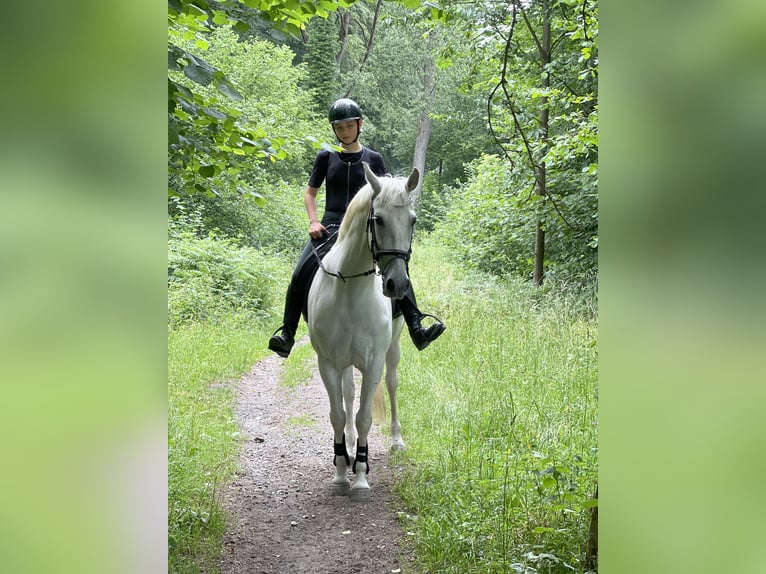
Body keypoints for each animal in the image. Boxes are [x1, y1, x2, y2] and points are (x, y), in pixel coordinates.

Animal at [308, 163, 420, 504]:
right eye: (378, 219)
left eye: (412, 220)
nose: (397, 285)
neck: (350, 290)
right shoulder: (328, 363)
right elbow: (339, 415)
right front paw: (341, 471)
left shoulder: (373, 364)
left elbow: (364, 416)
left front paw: (360, 475)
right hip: (344, 363)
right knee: (347, 395)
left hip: (393, 350)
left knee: (393, 384)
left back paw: (397, 440)